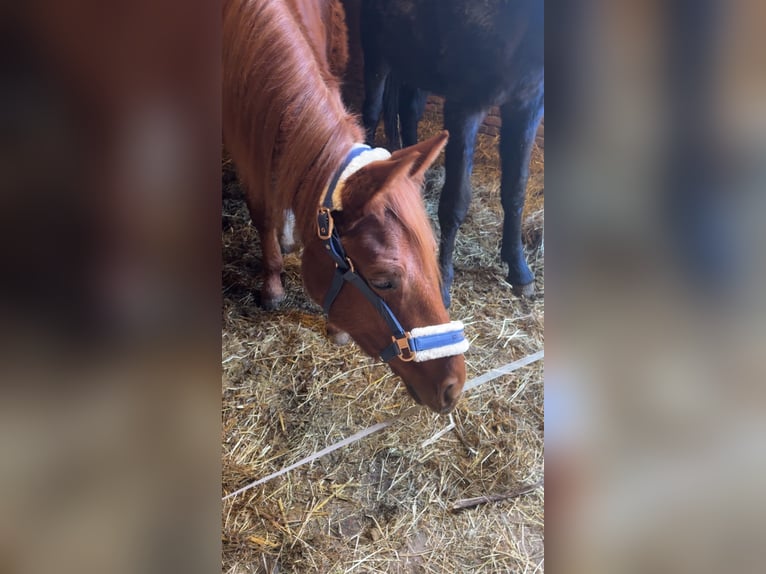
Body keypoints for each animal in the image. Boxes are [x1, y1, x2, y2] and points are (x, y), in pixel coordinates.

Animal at [360, 0, 544, 306]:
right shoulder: (465, 105)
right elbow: (455, 201)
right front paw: (443, 282)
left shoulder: (527, 104)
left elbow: (516, 189)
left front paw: (519, 270)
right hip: (377, 54)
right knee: (371, 114)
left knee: (409, 111)